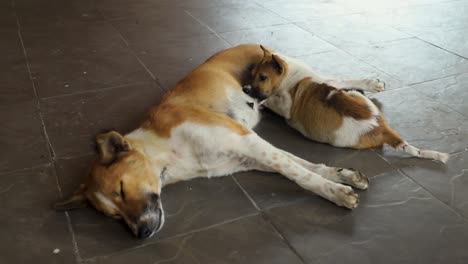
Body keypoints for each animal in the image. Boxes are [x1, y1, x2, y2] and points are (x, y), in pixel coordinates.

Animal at [54, 43, 370, 239]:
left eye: (120, 189)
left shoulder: (247, 140)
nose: (142, 234)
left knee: (329, 79)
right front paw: (342, 176)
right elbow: (297, 162)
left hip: (292, 78)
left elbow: (298, 173)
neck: (166, 154)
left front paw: (334, 191)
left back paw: (370, 83)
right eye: (113, 216)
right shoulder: (245, 155)